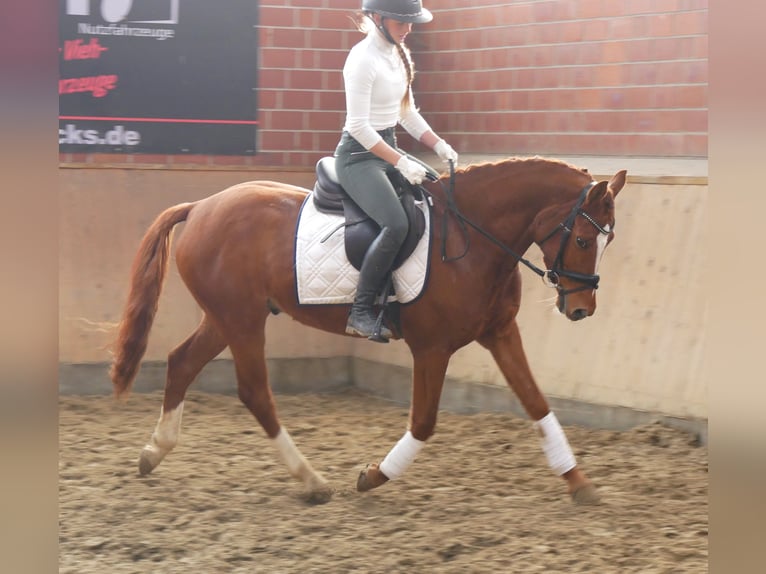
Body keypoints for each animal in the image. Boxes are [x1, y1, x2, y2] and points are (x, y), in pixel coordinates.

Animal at [111, 156, 628, 504]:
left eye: (608, 241)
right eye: (585, 240)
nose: (581, 309)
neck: (473, 238)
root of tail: (201, 206)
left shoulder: (500, 333)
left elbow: (537, 403)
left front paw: (580, 483)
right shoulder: (432, 347)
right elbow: (423, 423)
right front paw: (373, 476)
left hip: (226, 318)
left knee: (182, 362)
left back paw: (154, 452)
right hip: (241, 321)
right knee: (255, 392)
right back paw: (312, 481)